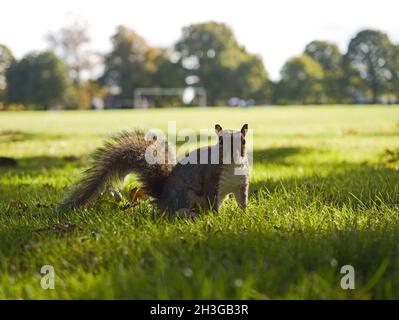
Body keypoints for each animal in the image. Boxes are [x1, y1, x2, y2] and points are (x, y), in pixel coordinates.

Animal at [59, 123, 250, 218]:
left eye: (243, 141)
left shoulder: (242, 186)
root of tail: (162, 198)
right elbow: (212, 202)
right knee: (175, 211)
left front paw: (245, 214)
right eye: (220, 141)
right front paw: (217, 218)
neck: (232, 166)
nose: (232, 153)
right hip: (185, 195)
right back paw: (186, 213)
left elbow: (242, 201)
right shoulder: (211, 180)